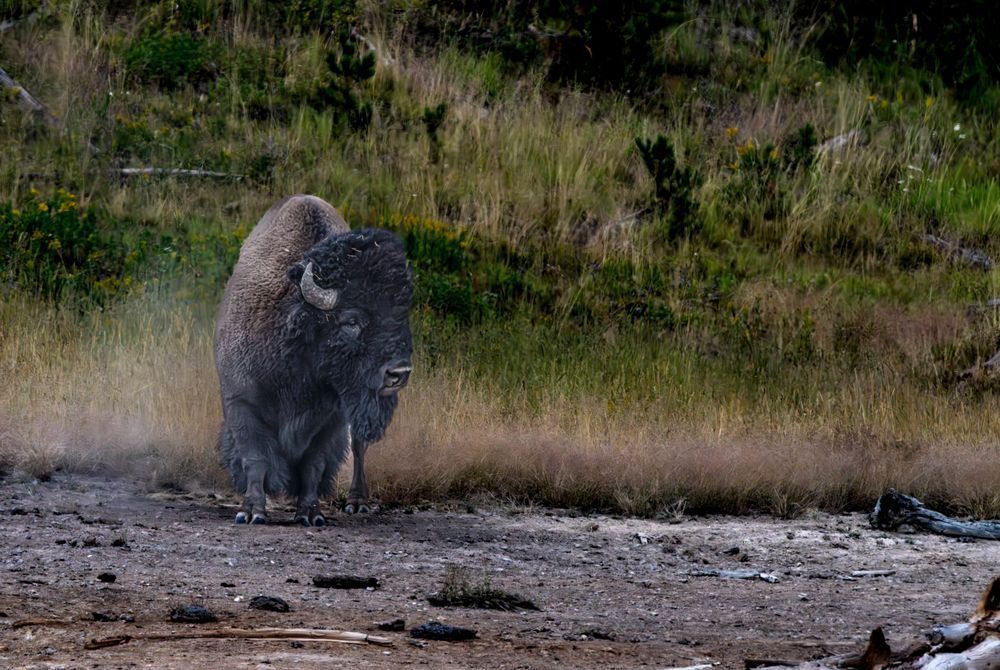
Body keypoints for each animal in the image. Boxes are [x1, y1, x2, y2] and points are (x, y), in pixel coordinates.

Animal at [214, 195, 413, 525]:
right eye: (351, 321)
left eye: (402, 315)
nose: (399, 372)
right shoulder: (241, 402)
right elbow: (255, 458)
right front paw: (251, 512)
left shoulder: (333, 417)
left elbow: (314, 464)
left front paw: (310, 513)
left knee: (359, 448)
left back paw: (357, 503)